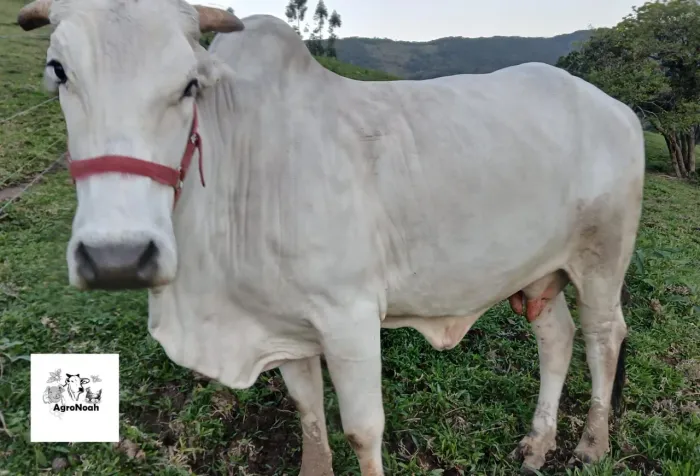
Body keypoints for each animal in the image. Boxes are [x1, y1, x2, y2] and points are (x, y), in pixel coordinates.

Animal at [16, 0, 645, 474]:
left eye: (189, 85)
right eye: (58, 71)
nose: (117, 257)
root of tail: (617, 107)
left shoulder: (350, 318)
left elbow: (363, 430)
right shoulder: (285, 327)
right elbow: (308, 413)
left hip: (601, 259)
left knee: (603, 337)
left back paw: (591, 445)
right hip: (539, 271)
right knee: (556, 339)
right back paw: (537, 444)